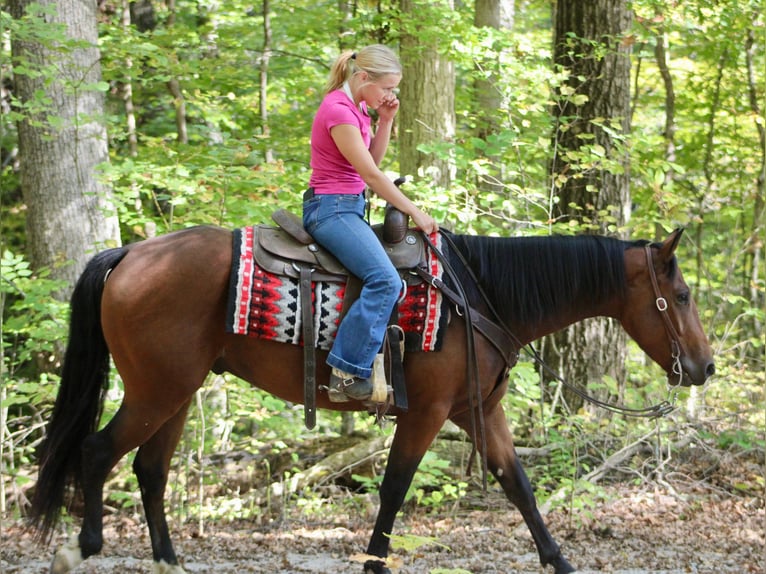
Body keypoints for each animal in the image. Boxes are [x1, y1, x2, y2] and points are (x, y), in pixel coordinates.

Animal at [28, 224, 714, 574]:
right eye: (680, 296)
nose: (705, 367)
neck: (479, 292)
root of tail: (131, 253)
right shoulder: (429, 413)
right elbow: (395, 487)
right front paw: (374, 563)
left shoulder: (479, 411)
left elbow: (516, 484)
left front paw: (559, 562)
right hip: (158, 388)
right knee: (98, 451)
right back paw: (85, 545)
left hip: (179, 389)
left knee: (150, 468)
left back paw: (169, 559)